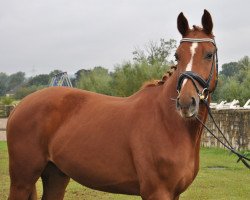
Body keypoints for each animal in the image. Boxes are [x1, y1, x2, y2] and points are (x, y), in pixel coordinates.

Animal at [6, 9, 218, 200]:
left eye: (209, 54)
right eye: (177, 55)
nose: (185, 102)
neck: (168, 123)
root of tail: (20, 106)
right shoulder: (157, 192)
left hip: (56, 175)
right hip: (22, 180)